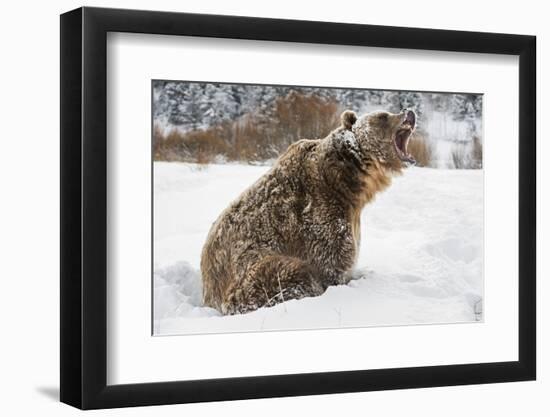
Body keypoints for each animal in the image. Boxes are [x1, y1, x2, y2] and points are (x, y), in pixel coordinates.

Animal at [203, 109, 418, 314]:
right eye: (383, 116)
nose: (409, 112)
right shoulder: (319, 213)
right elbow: (332, 261)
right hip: (250, 272)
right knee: (290, 272)